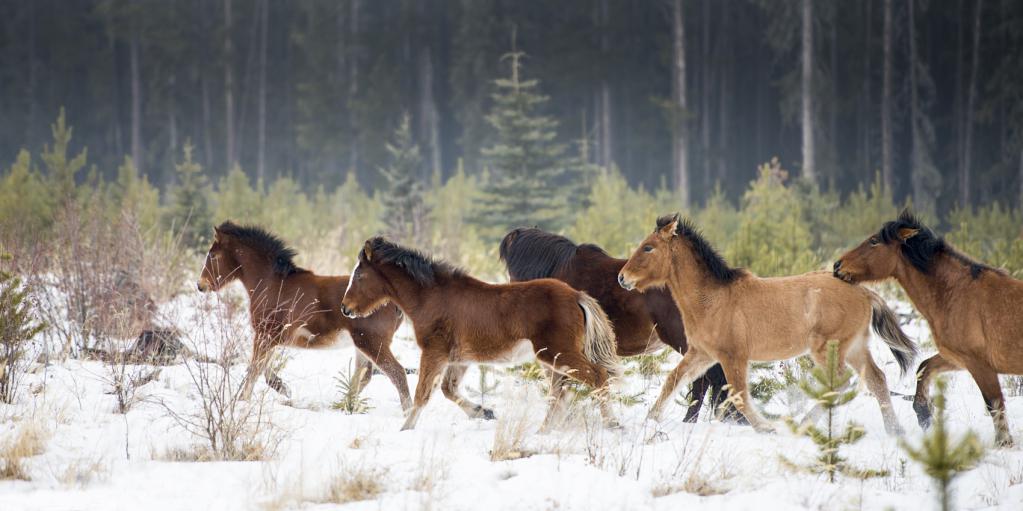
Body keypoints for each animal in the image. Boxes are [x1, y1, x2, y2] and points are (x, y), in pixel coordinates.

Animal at [196, 221, 411, 408]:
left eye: (213, 255)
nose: (201, 285)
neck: (272, 284)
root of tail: (394, 302)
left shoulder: (266, 334)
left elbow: (254, 369)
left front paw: (243, 400)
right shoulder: (272, 338)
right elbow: (263, 370)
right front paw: (283, 389)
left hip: (371, 343)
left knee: (397, 374)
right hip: (362, 344)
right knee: (364, 375)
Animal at [339, 238, 617, 431]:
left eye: (359, 275)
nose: (345, 308)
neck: (431, 298)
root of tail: (577, 296)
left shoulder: (434, 352)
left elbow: (422, 394)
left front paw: (406, 428)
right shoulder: (459, 359)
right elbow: (448, 390)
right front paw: (484, 412)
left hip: (559, 354)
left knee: (597, 377)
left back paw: (612, 424)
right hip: (553, 360)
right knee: (560, 392)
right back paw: (544, 431)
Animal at [613, 213, 920, 433]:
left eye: (648, 247)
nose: (622, 278)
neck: (712, 299)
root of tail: (865, 292)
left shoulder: (733, 356)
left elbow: (739, 395)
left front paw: (766, 427)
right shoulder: (702, 354)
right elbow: (673, 380)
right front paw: (650, 419)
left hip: (829, 349)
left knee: (842, 382)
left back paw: (805, 422)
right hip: (855, 347)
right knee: (877, 380)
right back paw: (894, 431)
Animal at [834, 209, 1023, 445]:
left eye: (874, 241)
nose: (837, 266)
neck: (956, 294)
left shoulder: (980, 365)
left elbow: (994, 404)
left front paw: (1003, 442)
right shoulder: (957, 358)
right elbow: (924, 368)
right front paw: (924, 414)